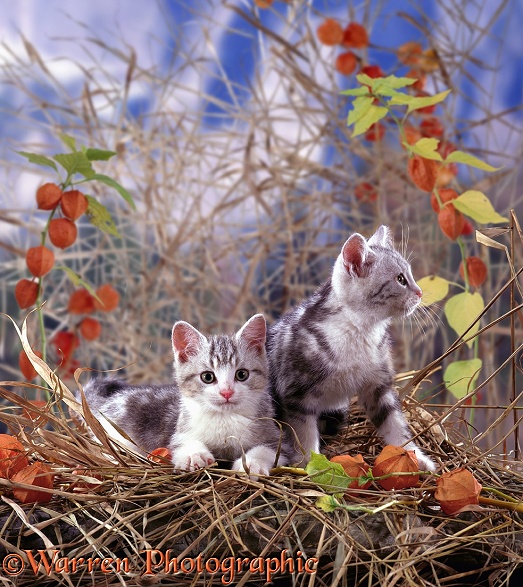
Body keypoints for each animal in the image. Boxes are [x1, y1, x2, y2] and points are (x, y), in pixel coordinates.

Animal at [80, 314, 288, 476]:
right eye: (207, 377)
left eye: (242, 374)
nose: (226, 392)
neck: (224, 418)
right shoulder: (179, 430)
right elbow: (181, 443)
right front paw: (194, 455)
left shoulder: (277, 437)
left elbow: (269, 450)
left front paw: (252, 463)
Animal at [268, 225, 436, 474]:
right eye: (400, 279)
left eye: (410, 275)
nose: (420, 292)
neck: (361, 331)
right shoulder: (295, 394)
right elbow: (304, 435)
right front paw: (310, 465)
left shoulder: (379, 385)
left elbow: (395, 424)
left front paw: (415, 456)